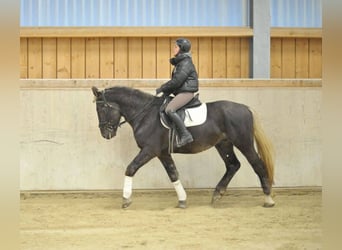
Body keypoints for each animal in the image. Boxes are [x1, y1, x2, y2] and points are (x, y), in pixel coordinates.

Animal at [91, 86, 276, 209]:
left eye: (102, 108)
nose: (105, 134)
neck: (145, 115)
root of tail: (246, 108)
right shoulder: (162, 153)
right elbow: (173, 174)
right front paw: (182, 200)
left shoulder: (150, 150)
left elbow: (130, 168)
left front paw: (126, 199)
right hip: (223, 144)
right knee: (233, 165)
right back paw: (217, 194)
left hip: (243, 143)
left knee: (257, 165)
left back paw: (268, 199)